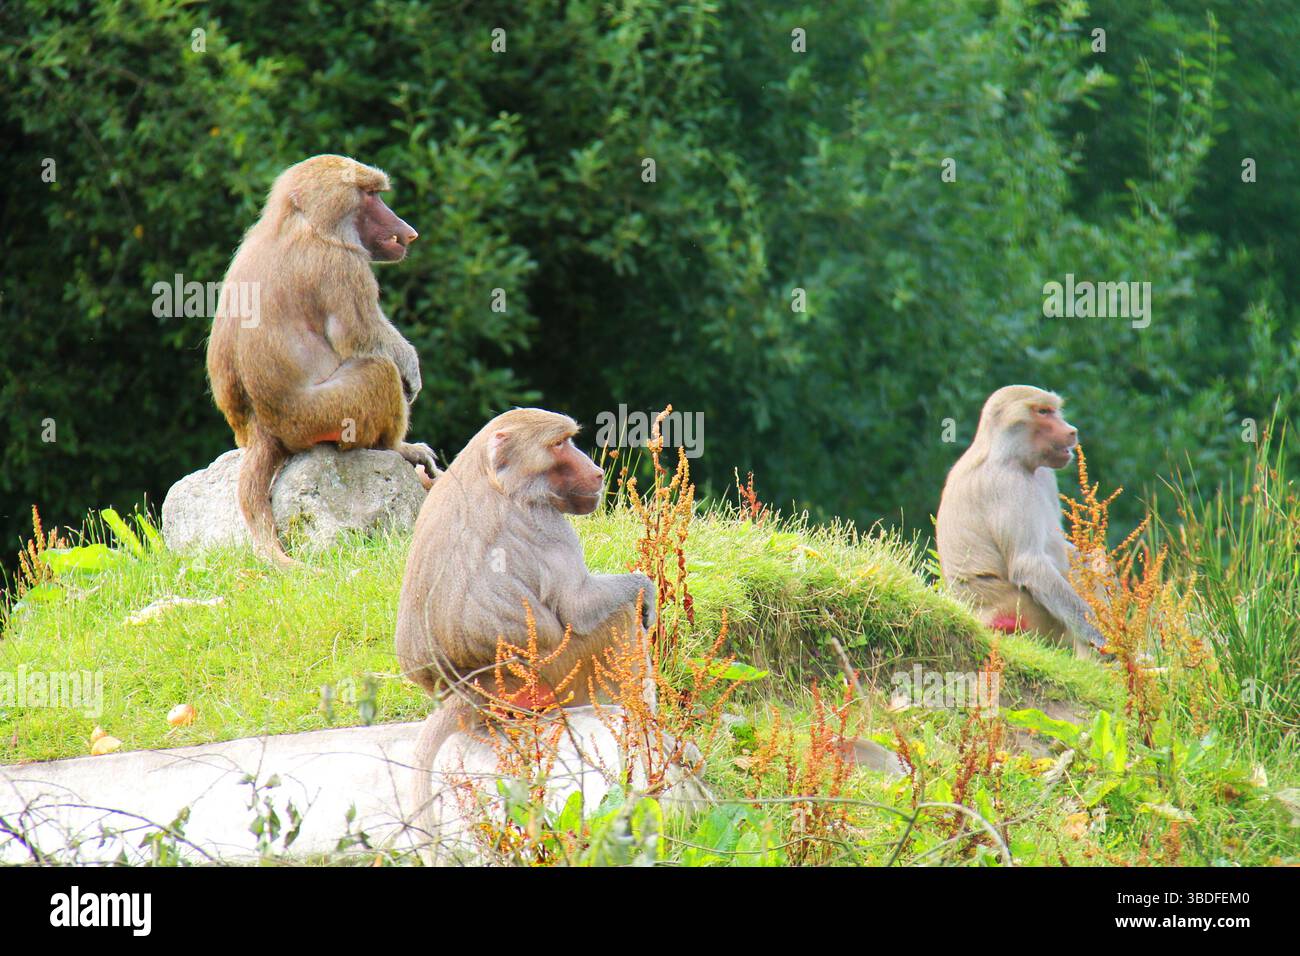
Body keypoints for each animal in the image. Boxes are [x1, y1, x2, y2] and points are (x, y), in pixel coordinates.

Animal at [206, 154, 438, 567]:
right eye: (369, 195)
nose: (407, 232)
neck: (300, 223)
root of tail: (262, 429)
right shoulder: (342, 263)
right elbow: (361, 336)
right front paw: (410, 367)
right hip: (321, 417)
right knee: (380, 373)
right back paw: (396, 448)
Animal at [394, 407, 656, 840]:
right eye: (559, 444)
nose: (597, 472)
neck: (491, 475)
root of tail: (469, 690)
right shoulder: (546, 522)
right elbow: (580, 605)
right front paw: (644, 590)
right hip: (554, 675)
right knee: (617, 618)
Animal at [935, 385, 1107, 657]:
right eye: (1043, 412)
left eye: (1054, 410)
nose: (1072, 431)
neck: (1008, 455)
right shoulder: (1008, 485)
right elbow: (1029, 565)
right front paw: (1101, 636)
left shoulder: (1045, 473)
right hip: (1022, 613)